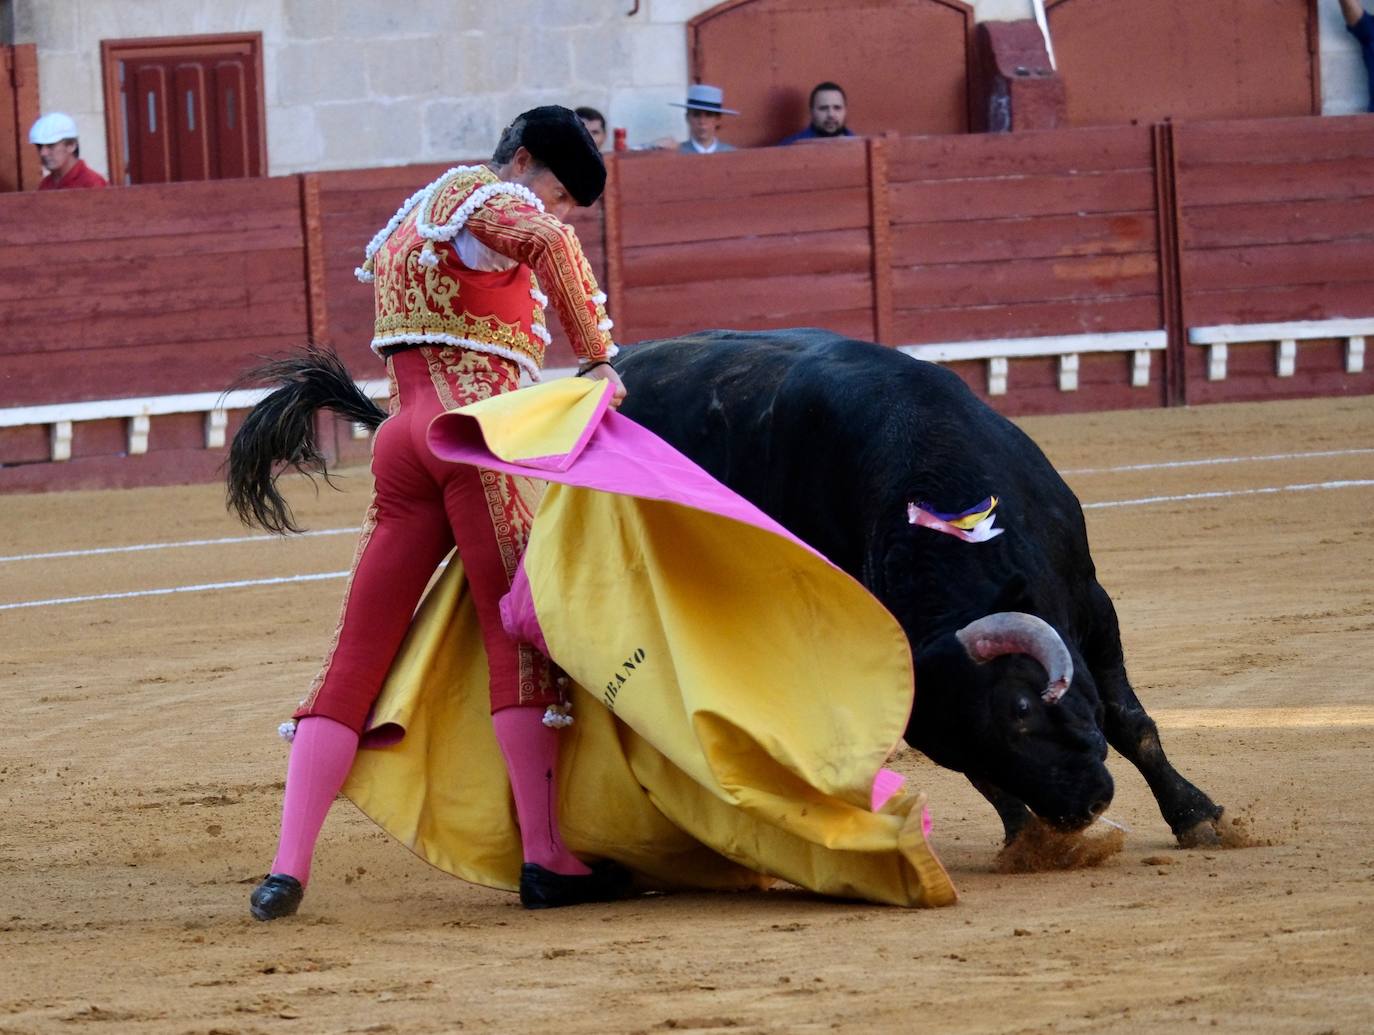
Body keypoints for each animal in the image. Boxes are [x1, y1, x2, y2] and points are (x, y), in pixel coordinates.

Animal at [612, 331, 1225, 846]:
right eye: (953, 753)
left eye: (1023, 707)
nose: (1078, 811)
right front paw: (1027, 842)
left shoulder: (1091, 600)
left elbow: (1130, 721)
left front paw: (1198, 818)